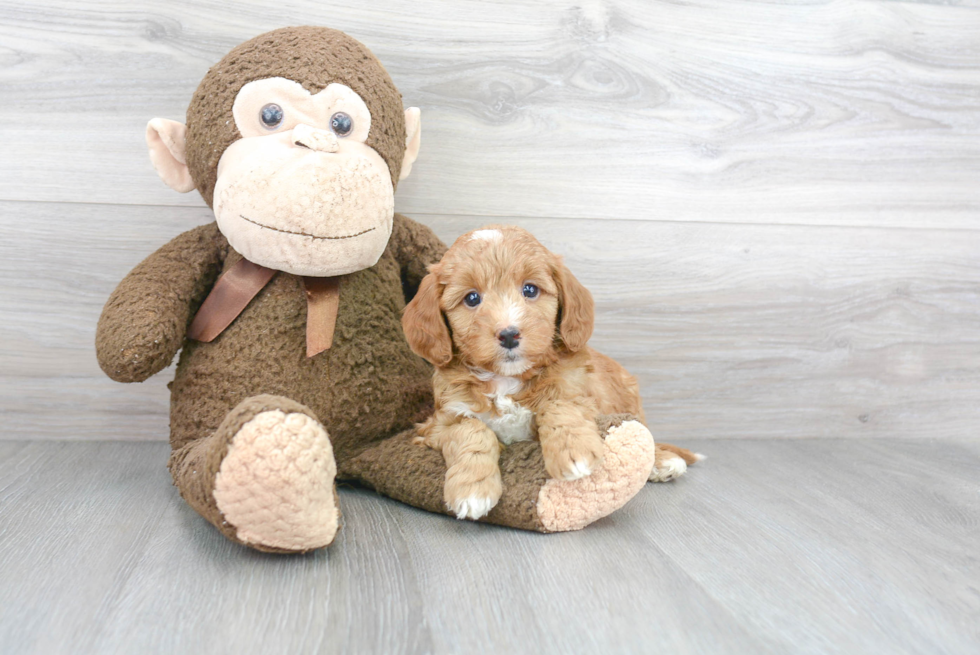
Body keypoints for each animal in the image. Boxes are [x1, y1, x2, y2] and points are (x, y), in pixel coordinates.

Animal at [400, 226, 696, 524]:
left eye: (530, 289)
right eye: (472, 298)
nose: (509, 334)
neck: (507, 379)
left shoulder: (575, 387)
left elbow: (559, 405)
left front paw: (574, 452)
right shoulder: (439, 423)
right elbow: (472, 431)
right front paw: (472, 489)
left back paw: (663, 461)